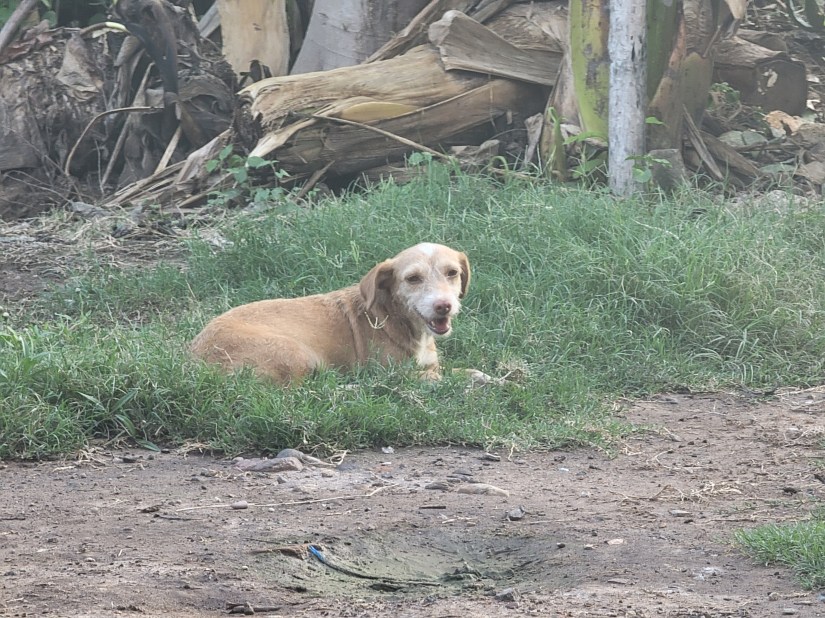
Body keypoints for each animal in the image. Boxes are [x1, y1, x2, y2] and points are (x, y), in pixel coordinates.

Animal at [190, 242, 482, 384]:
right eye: (413, 279)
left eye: (452, 273)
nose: (444, 305)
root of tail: (192, 359)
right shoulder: (387, 372)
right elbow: (432, 377)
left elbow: (464, 371)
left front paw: (476, 376)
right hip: (296, 352)